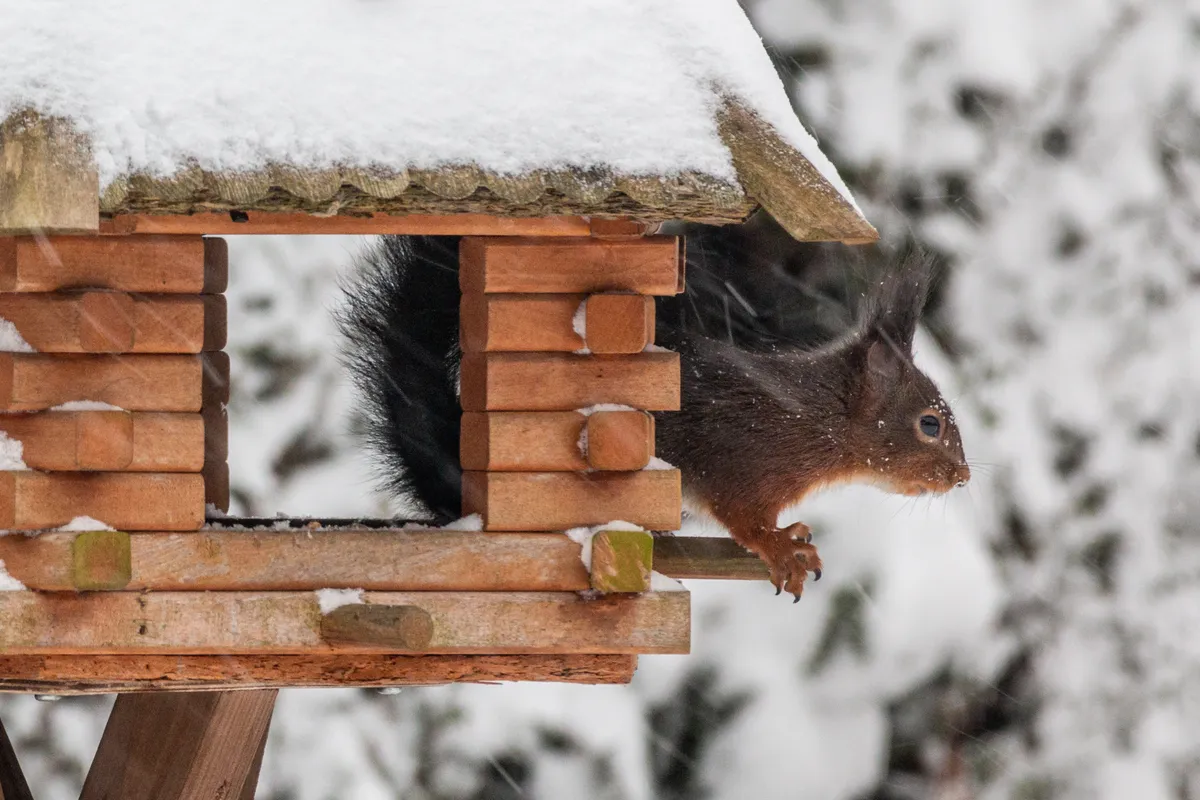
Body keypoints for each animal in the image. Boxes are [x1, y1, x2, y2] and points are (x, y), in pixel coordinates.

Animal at [336, 230, 970, 601]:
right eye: (929, 425)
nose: (963, 477)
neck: (814, 420)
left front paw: (794, 533)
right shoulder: (745, 460)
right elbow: (745, 521)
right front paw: (783, 549)